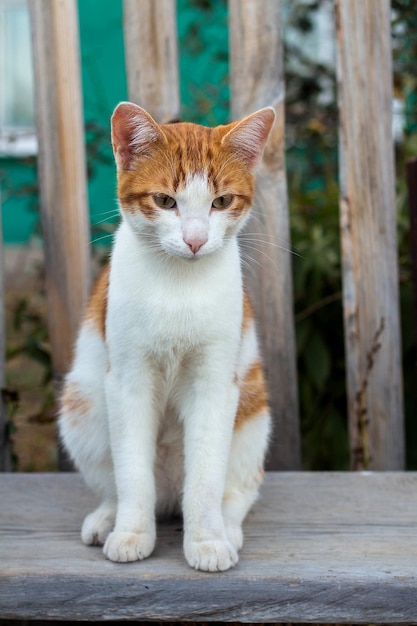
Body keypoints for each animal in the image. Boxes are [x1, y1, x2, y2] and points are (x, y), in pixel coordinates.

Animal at [58, 101, 272, 572]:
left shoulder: (216, 382)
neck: (179, 287)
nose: (195, 240)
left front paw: (208, 541)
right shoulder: (128, 380)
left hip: (253, 417)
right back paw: (108, 517)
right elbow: (132, 472)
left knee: (236, 489)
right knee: (115, 481)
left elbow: (207, 474)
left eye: (221, 201)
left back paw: (227, 527)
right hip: (82, 407)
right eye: (164, 201)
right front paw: (131, 534)